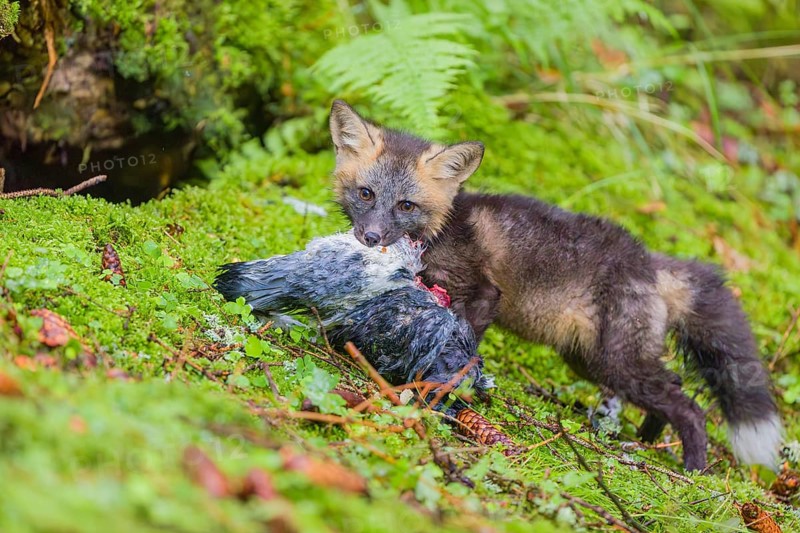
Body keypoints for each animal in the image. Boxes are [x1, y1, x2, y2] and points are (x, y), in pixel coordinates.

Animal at [327, 99, 783, 471]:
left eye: (406, 205)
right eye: (366, 194)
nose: (370, 236)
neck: (441, 231)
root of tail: (647, 260)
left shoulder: (483, 293)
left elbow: (461, 354)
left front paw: (437, 397)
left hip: (616, 362)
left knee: (690, 407)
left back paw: (693, 469)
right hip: (590, 360)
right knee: (675, 385)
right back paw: (646, 440)